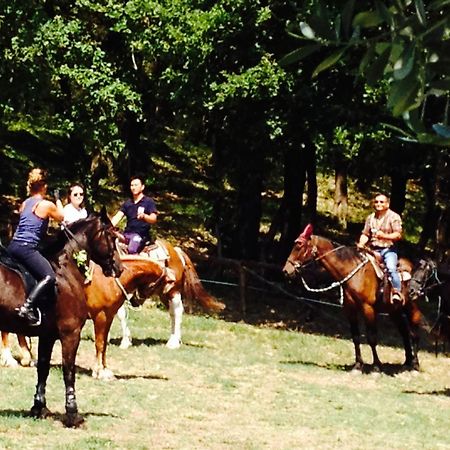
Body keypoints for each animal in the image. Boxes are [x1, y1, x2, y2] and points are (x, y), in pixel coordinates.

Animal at [0, 213, 121, 428]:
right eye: (111, 237)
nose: (119, 268)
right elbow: (69, 372)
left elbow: (43, 369)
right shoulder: (70, 334)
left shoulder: (47, 336)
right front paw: (73, 415)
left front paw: (39, 408)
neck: (65, 272)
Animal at [284, 223, 424, 370]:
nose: (286, 270)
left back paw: (415, 364)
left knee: (414, 333)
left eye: (299, 245)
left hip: (411, 307)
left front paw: (376, 366)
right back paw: (407, 362)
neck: (355, 272)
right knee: (404, 332)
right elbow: (355, 336)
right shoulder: (350, 309)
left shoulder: (368, 309)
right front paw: (358, 365)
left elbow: (371, 337)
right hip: (394, 311)